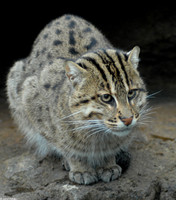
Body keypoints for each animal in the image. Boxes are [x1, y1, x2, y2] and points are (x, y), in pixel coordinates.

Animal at [6, 14, 147, 184]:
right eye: (106, 97)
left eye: (131, 93)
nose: (128, 119)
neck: (97, 132)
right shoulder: (30, 99)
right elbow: (65, 146)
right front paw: (80, 168)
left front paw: (108, 164)